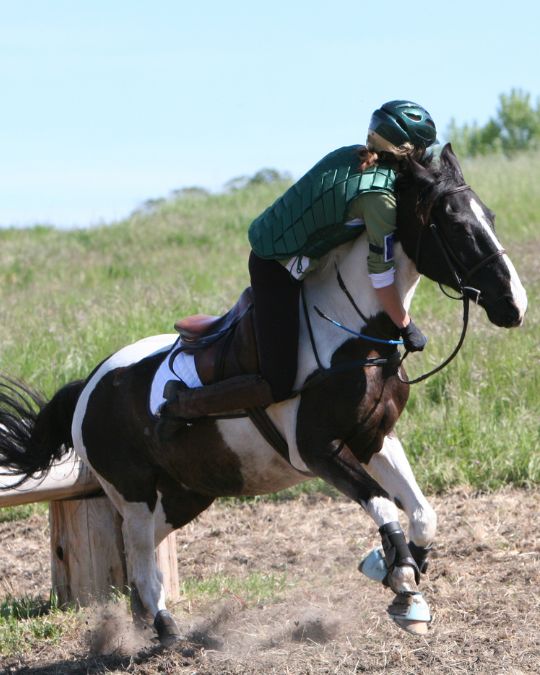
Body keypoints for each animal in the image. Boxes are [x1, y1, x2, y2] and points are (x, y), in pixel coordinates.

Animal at [0, 144, 527, 644]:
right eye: (455, 226)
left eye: (489, 217)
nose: (515, 305)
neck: (356, 330)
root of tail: (87, 384)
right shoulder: (317, 450)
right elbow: (382, 505)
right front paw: (397, 580)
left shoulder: (375, 440)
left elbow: (421, 514)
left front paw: (402, 575)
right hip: (133, 492)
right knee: (141, 559)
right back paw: (165, 629)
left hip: (187, 492)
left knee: (142, 554)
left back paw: (145, 623)